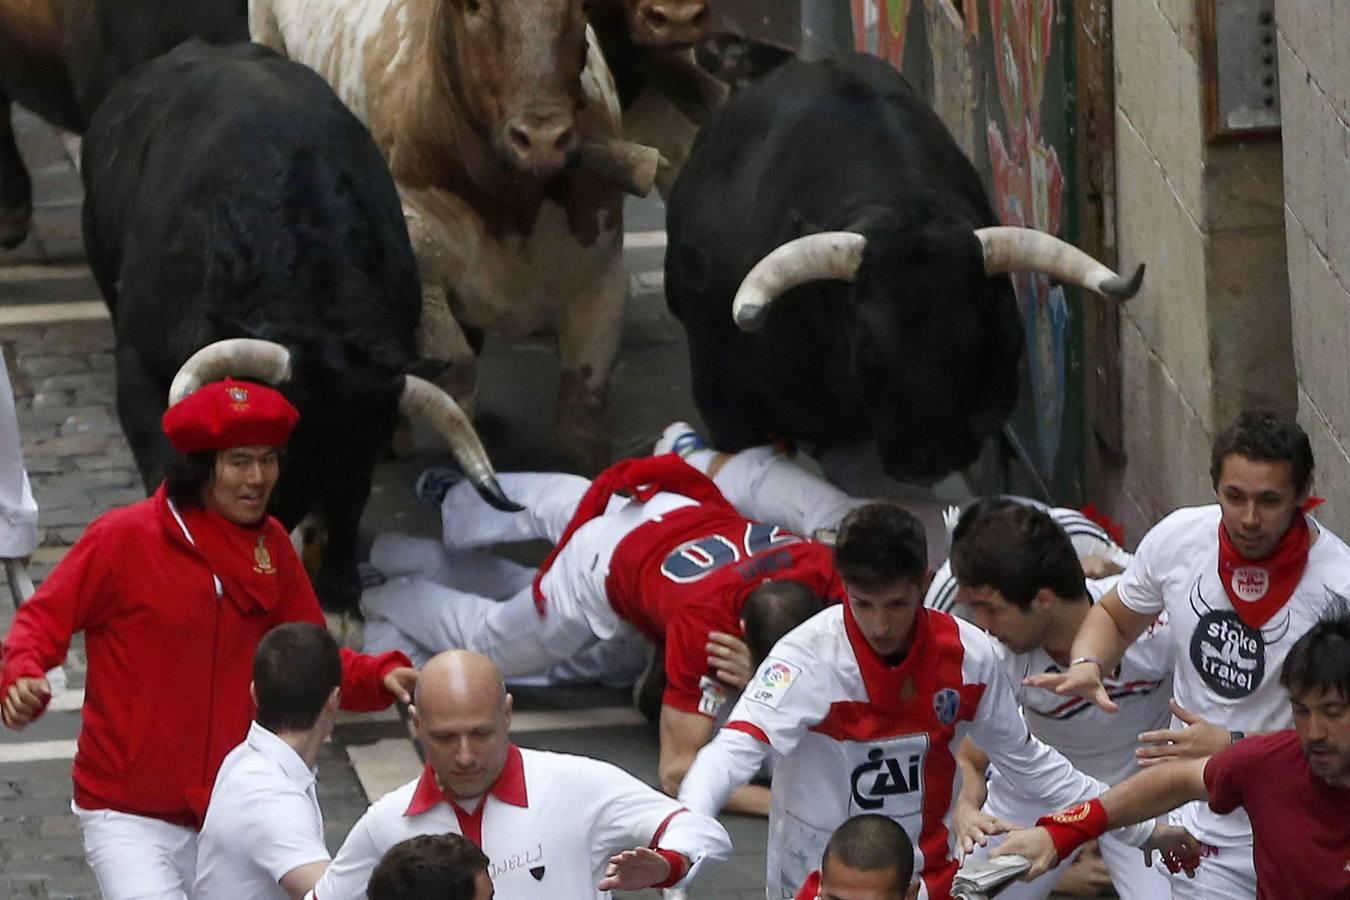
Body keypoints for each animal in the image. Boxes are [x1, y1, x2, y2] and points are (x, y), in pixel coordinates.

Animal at [251, 0, 656, 474]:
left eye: (579, 7)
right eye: (473, 7)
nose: (541, 139)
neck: (508, 206)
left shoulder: (600, 279)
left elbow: (582, 422)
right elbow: (456, 376)